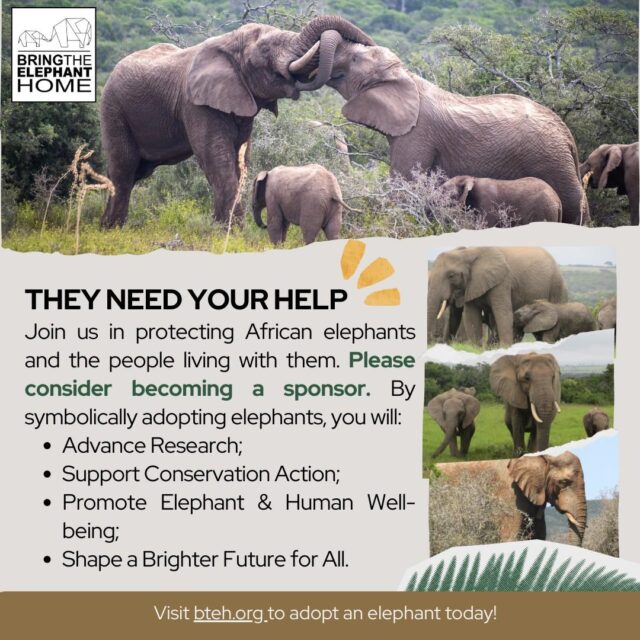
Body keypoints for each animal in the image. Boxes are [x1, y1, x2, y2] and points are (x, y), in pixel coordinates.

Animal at [99, 16, 373, 227]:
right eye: (265, 50)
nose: (368, 48)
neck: (228, 41)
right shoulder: (195, 103)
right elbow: (217, 158)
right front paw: (230, 231)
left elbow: (240, 159)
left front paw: (225, 227)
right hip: (113, 109)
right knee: (124, 169)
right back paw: (114, 230)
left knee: (132, 172)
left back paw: (104, 226)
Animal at [292, 36, 589, 224]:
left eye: (354, 58)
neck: (408, 77)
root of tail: (567, 135)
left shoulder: (417, 135)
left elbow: (403, 188)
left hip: (551, 160)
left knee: (574, 205)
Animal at [427, 247, 567, 346]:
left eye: (451, 275)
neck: (469, 253)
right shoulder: (471, 285)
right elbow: (471, 315)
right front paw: (475, 349)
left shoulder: (502, 281)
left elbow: (502, 312)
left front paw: (504, 348)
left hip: (556, 286)